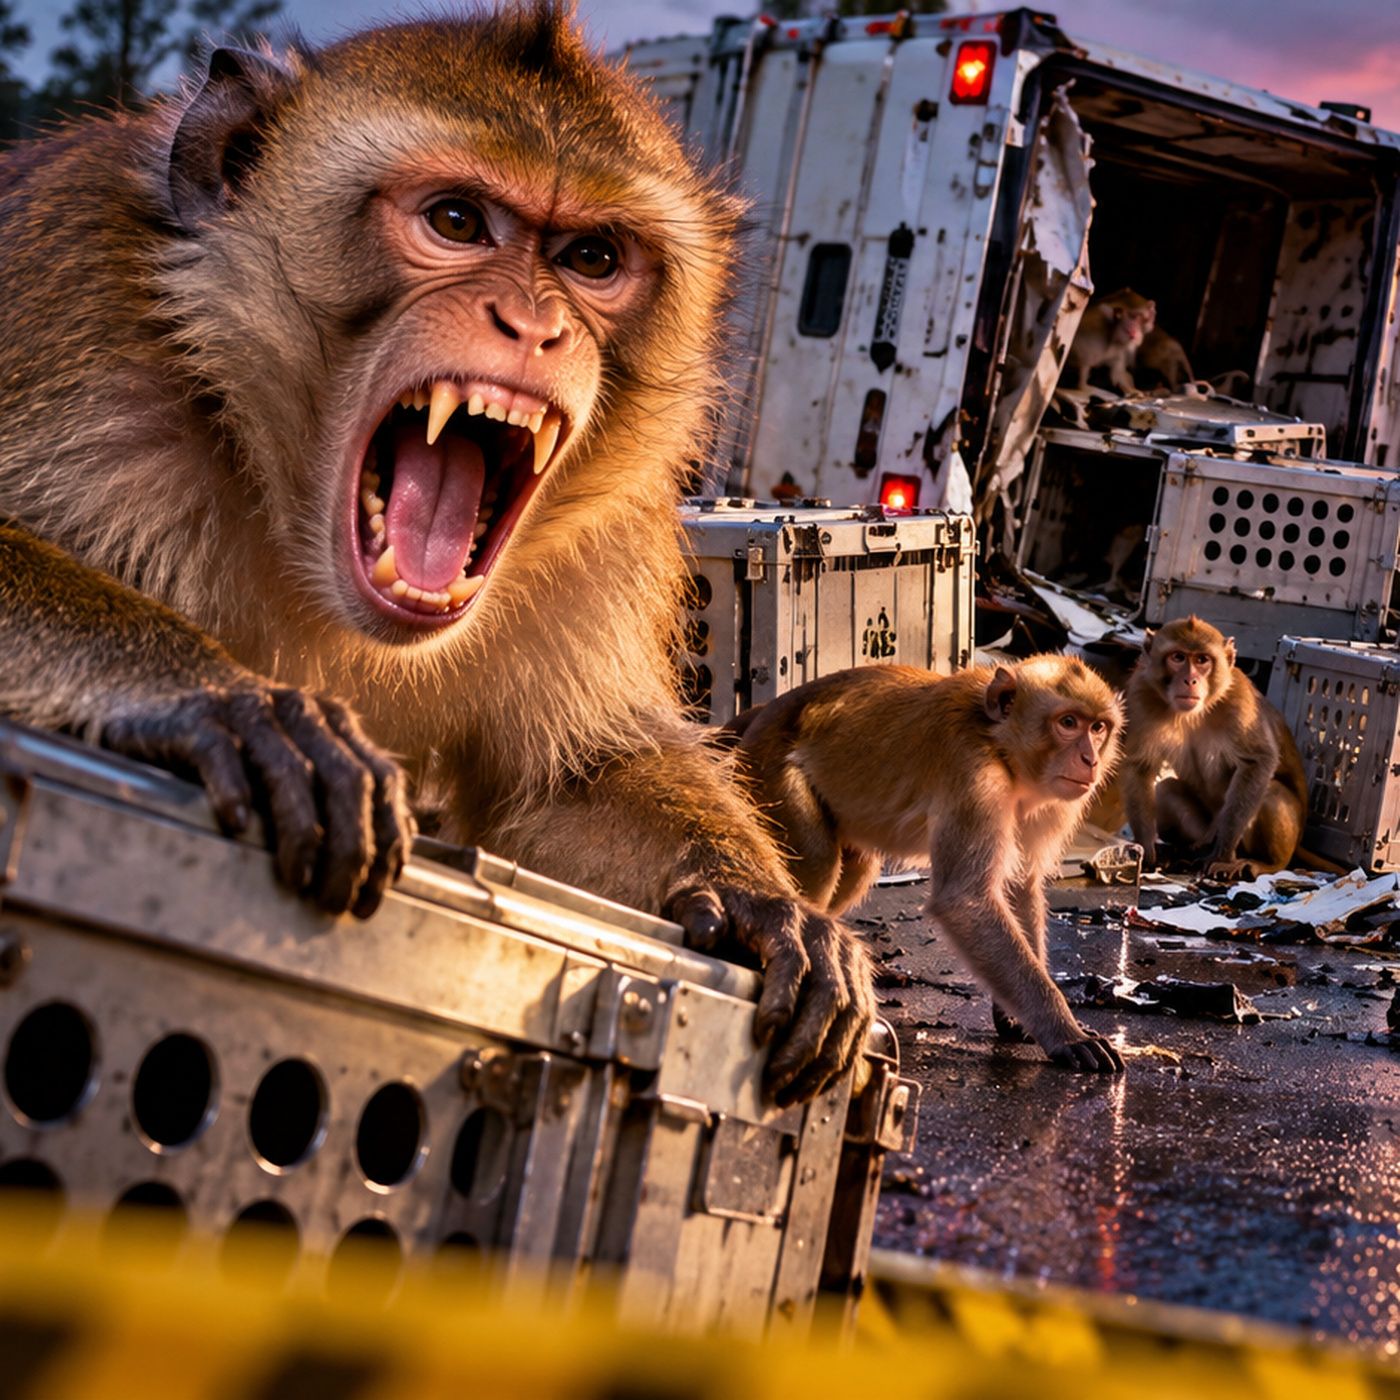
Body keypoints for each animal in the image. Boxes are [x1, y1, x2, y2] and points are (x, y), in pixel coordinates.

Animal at [0, 5, 871, 1106]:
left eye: (592, 257)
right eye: (457, 223)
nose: (534, 324)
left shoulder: (605, 538)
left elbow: (572, 775)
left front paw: (759, 900)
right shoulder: (74, 317)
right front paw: (209, 692)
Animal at [728, 660, 1126, 1073]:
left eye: (1098, 728)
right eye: (1068, 723)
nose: (1091, 760)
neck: (1001, 746)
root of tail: (764, 714)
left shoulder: (1050, 804)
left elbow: (1020, 885)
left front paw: (1015, 1016)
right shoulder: (974, 777)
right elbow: (965, 900)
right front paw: (1065, 1032)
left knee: (855, 866)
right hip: (770, 774)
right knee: (819, 864)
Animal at [1121, 616, 1307, 878]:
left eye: (1202, 660)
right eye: (1178, 657)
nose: (1190, 680)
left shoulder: (1239, 701)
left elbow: (1258, 761)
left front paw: (1223, 855)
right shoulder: (1141, 692)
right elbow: (1140, 766)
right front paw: (1146, 850)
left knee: (1271, 792)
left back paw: (1267, 864)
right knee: (1166, 790)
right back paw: (1183, 850)